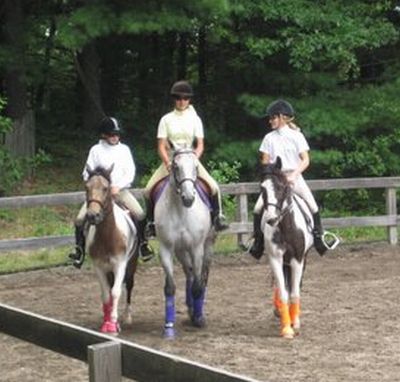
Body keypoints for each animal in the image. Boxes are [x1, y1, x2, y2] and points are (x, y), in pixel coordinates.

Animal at [83, 164, 138, 334]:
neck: (107, 237)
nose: (92, 216)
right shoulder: (99, 267)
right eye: (87, 187)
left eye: (105, 188)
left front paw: (113, 323)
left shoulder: (120, 265)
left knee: (129, 285)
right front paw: (107, 322)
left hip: (131, 264)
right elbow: (106, 294)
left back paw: (127, 316)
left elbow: (115, 291)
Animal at [260, 158, 316, 340]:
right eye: (262, 189)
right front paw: (286, 328)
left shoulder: (297, 259)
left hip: (303, 258)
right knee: (282, 285)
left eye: (279, 187)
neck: (285, 227)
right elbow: (284, 292)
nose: (271, 219)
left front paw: (295, 323)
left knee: (296, 285)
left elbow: (294, 292)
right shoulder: (276, 258)